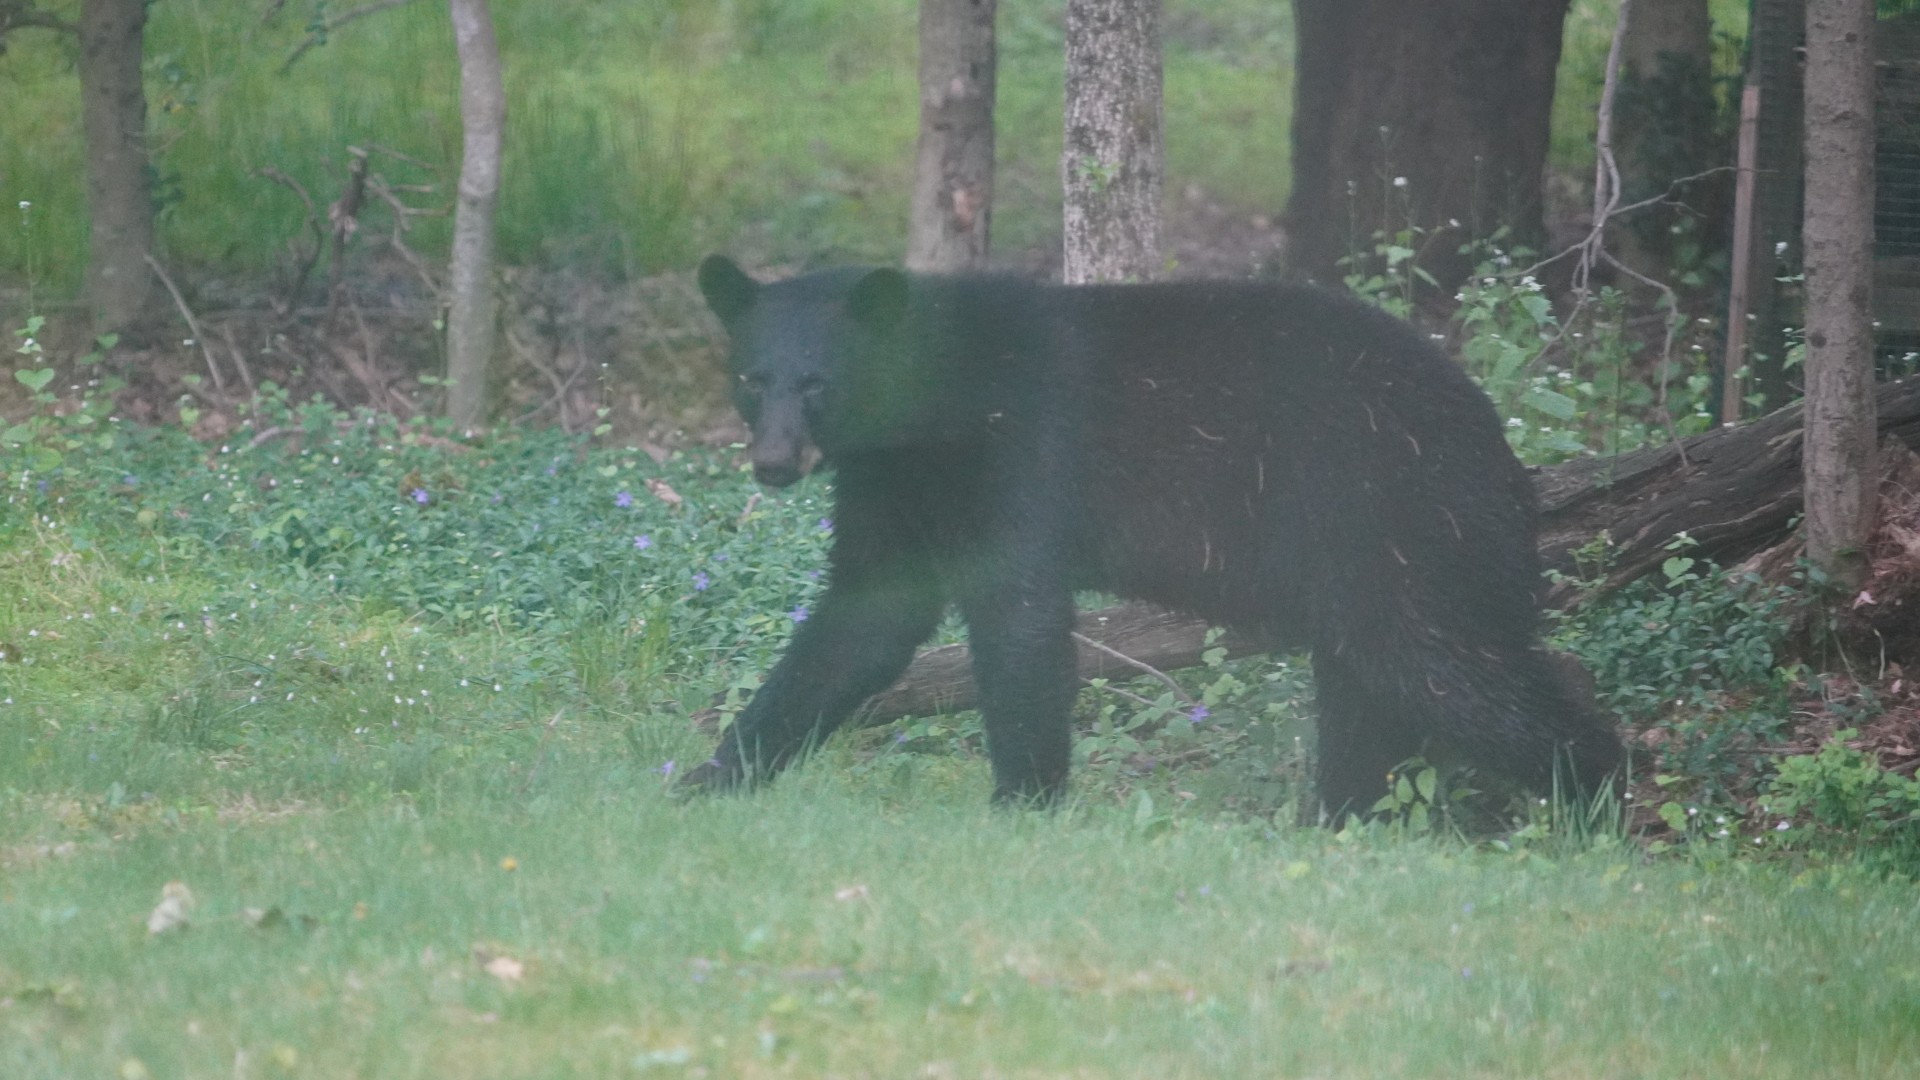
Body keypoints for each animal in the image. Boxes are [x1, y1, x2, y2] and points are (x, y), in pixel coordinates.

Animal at [679, 254, 1624, 817]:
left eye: (817, 383)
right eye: (751, 378)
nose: (774, 464)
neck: (935, 407)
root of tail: (1504, 451)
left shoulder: (1024, 450)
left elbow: (1019, 617)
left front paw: (1023, 799)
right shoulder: (891, 482)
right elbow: (864, 620)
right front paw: (712, 775)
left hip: (1405, 526)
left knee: (1447, 668)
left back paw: (1599, 794)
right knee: (1366, 690)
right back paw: (1337, 818)